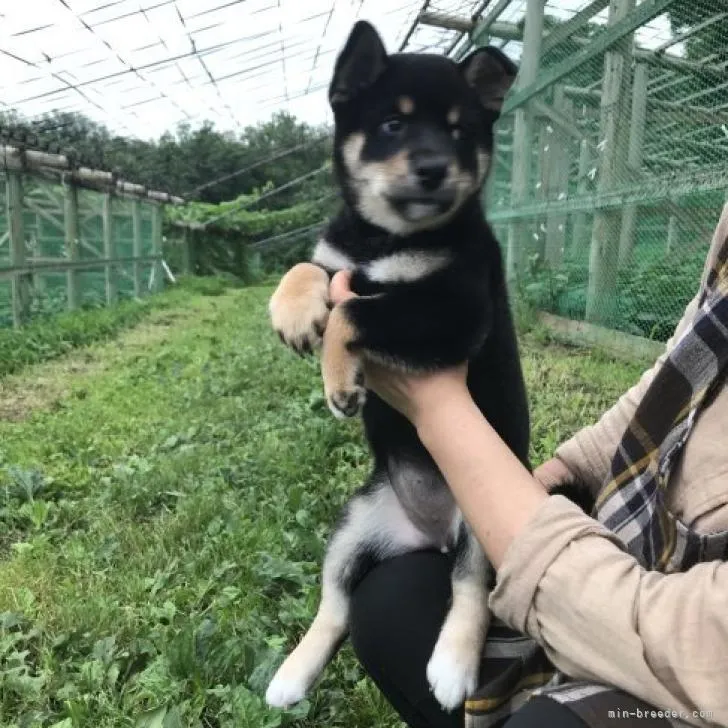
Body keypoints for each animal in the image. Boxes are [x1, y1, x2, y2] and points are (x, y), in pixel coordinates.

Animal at [264, 21, 528, 712]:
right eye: (392, 124)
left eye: (460, 131)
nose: (434, 168)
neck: (387, 242)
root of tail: (430, 536)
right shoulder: (339, 259)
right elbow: (308, 268)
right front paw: (293, 313)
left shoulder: (454, 309)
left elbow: (360, 312)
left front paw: (341, 382)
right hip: (353, 527)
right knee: (335, 605)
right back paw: (292, 674)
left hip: (480, 528)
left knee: (469, 588)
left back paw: (453, 667)